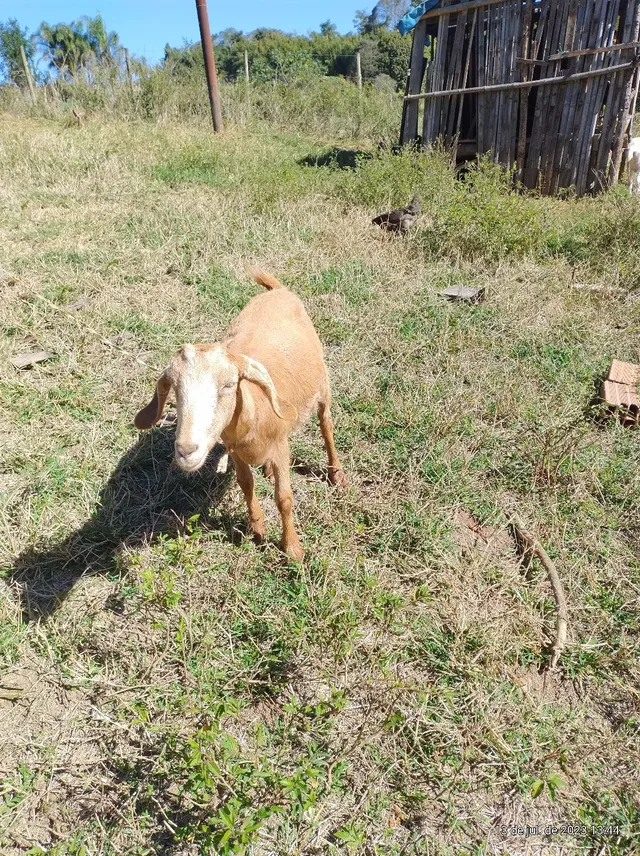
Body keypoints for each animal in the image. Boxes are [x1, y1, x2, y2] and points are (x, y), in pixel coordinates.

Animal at [134, 271, 347, 561]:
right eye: (174, 389)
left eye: (228, 385)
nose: (186, 450)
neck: (255, 413)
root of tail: (277, 290)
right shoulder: (235, 449)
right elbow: (246, 483)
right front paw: (257, 527)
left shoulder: (281, 446)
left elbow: (284, 497)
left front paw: (292, 548)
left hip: (323, 386)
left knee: (327, 425)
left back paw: (336, 473)